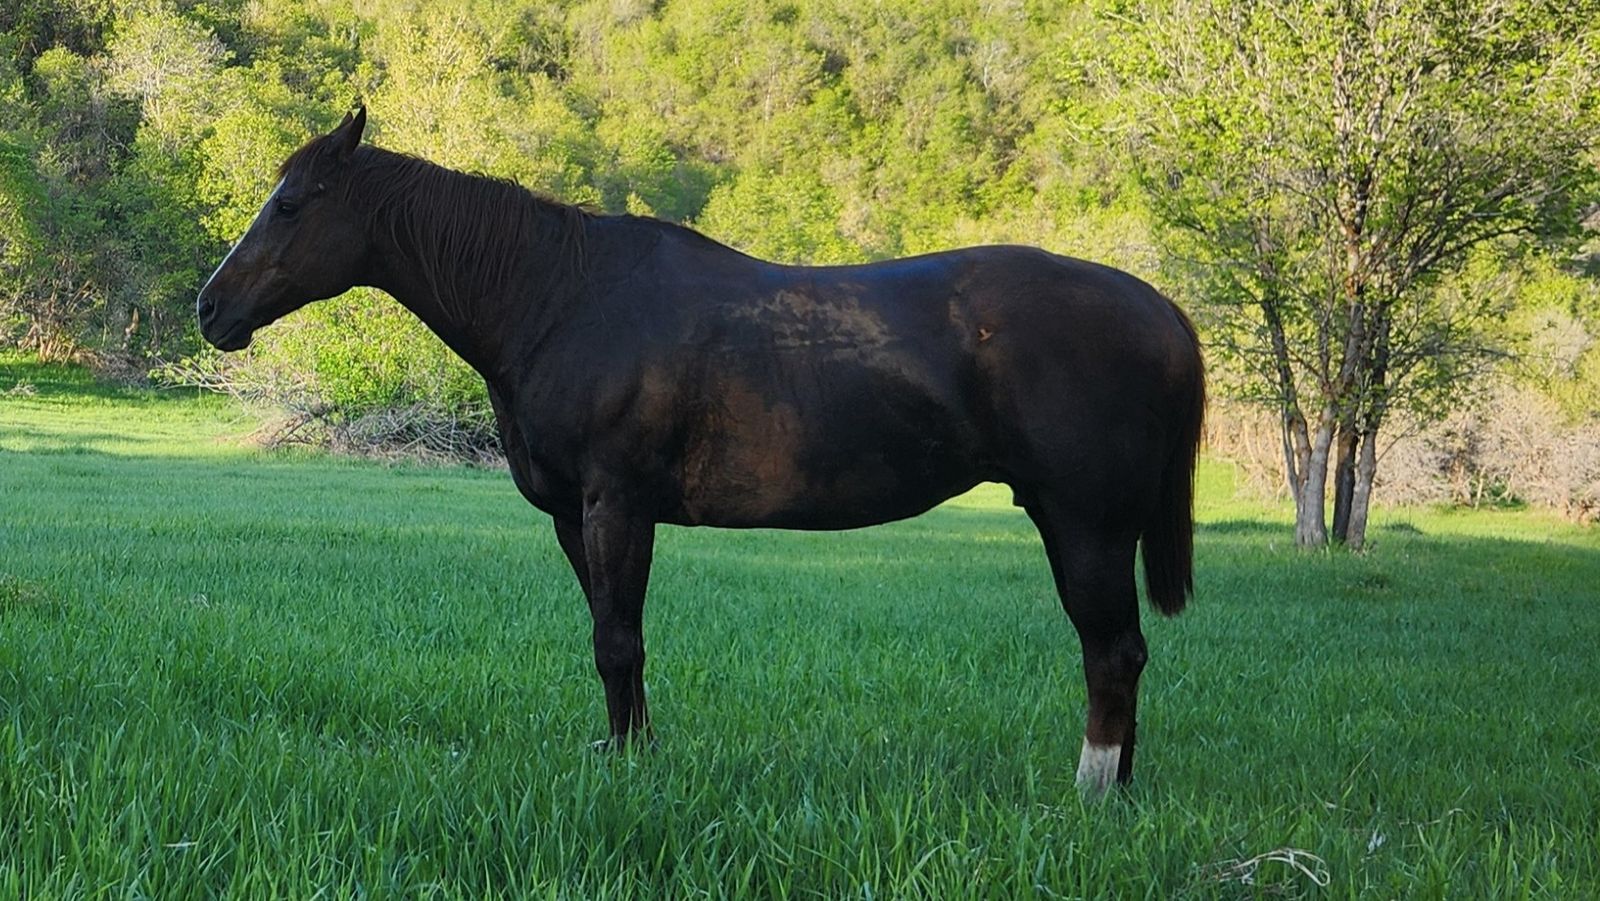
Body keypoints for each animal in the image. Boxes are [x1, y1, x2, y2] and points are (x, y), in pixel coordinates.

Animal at [196, 108, 1205, 796]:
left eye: (290, 205)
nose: (212, 309)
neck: (559, 295)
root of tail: (1157, 309)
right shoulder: (575, 517)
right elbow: (616, 637)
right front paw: (629, 748)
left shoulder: (616, 503)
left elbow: (616, 640)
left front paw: (627, 767)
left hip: (1085, 524)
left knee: (1112, 652)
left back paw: (1090, 792)